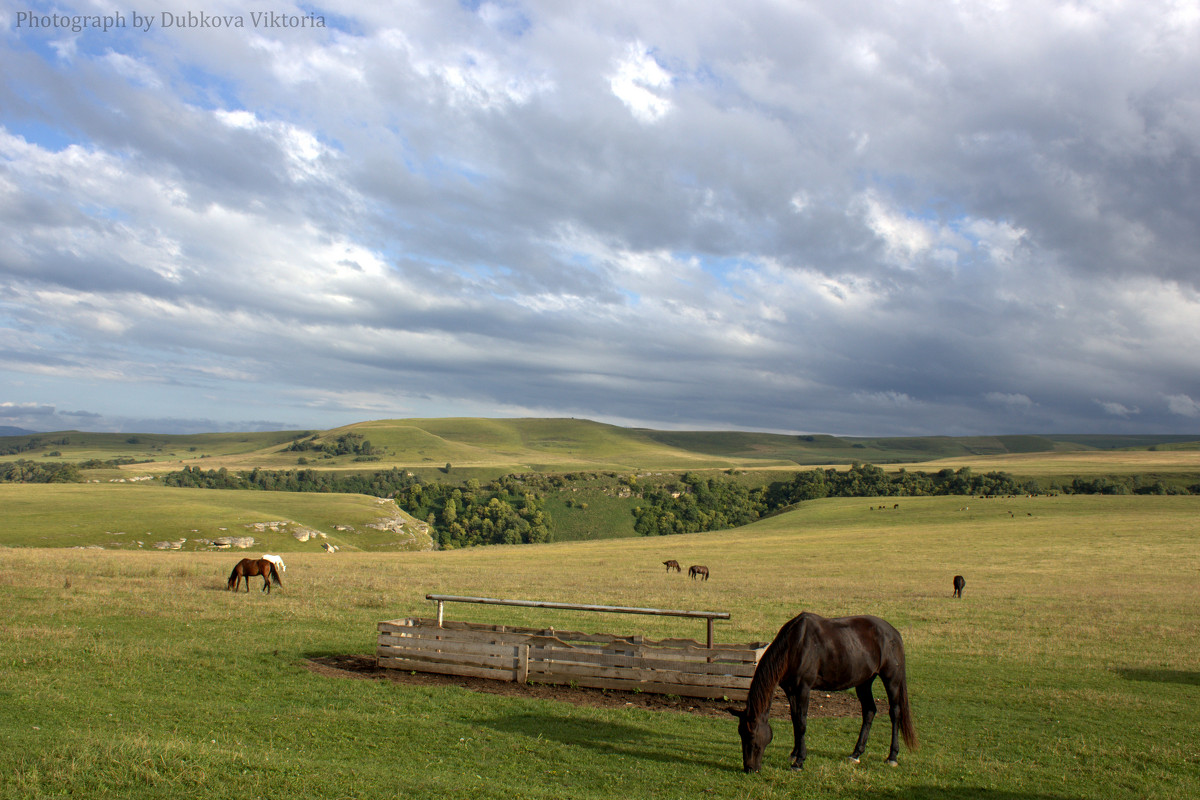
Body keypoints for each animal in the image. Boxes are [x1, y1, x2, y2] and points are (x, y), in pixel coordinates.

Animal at [729, 614, 916, 777]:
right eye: (740, 734)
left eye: (752, 736)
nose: (749, 768)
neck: (795, 645)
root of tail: (894, 633)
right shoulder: (791, 690)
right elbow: (794, 720)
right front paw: (794, 753)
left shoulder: (803, 688)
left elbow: (802, 723)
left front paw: (799, 762)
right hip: (864, 681)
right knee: (869, 711)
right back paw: (856, 753)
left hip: (891, 679)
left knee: (895, 713)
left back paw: (892, 756)